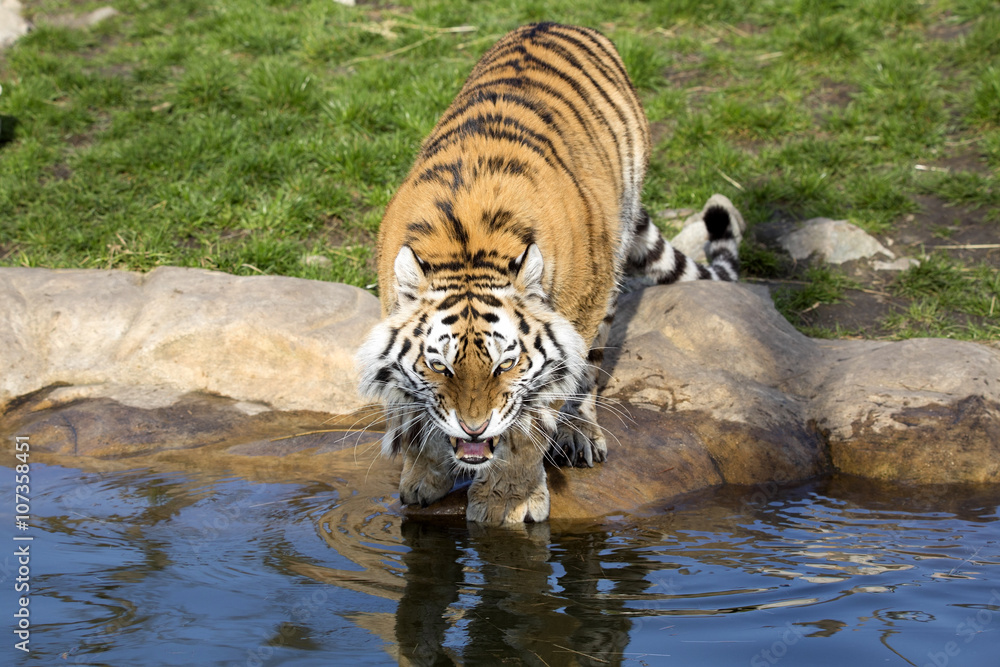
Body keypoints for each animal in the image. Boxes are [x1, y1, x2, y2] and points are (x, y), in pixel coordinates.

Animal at [355, 22, 741, 524]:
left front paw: (506, 504)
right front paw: (423, 479)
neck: (466, 244)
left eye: (506, 363)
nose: (474, 428)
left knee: (589, 370)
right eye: (439, 365)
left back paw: (579, 434)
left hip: (606, 275)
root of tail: (554, 23)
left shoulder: (571, 324)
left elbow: (530, 421)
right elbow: (415, 408)